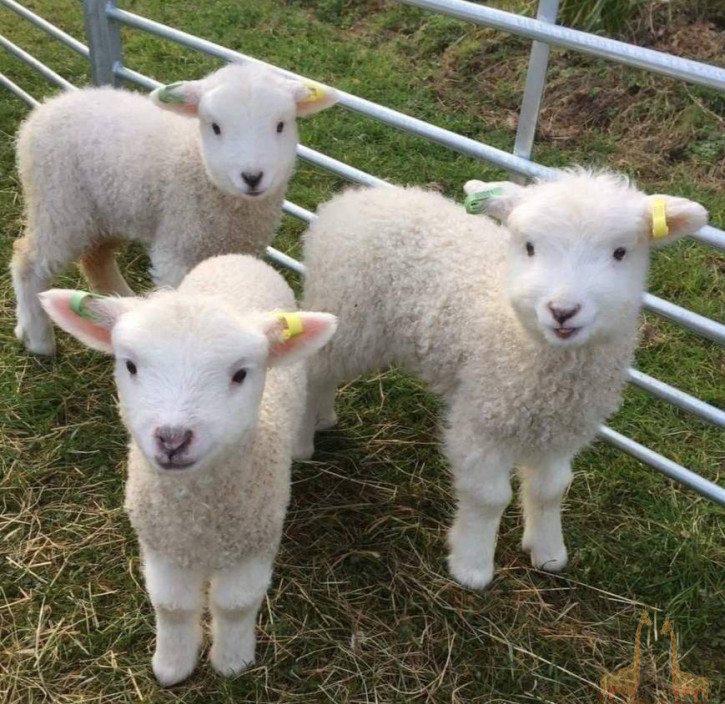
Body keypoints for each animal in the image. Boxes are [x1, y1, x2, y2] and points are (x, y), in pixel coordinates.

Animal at [12, 62, 338, 356]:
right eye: (215, 127)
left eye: (281, 125)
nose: (252, 177)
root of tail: (48, 106)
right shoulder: (178, 245)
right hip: (58, 203)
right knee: (27, 260)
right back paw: (37, 338)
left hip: (107, 209)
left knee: (96, 257)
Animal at [39, 254, 337, 685]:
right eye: (130, 365)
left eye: (240, 374)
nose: (172, 439)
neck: (198, 515)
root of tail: (236, 257)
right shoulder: (162, 544)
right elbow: (172, 606)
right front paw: (172, 666)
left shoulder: (254, 541)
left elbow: (236, 604)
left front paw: (233, 662)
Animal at [297, 169, 708, 590]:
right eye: (529, 247)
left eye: (620, 252)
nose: (563, 311)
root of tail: (350, 199)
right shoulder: (482, 416)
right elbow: (488, 497)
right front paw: (472, 566)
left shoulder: (561, 429)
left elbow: (550, 490)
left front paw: (548, 552)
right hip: (346, 315)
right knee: (312, 372)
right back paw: (301, 442)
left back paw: (324, 417)